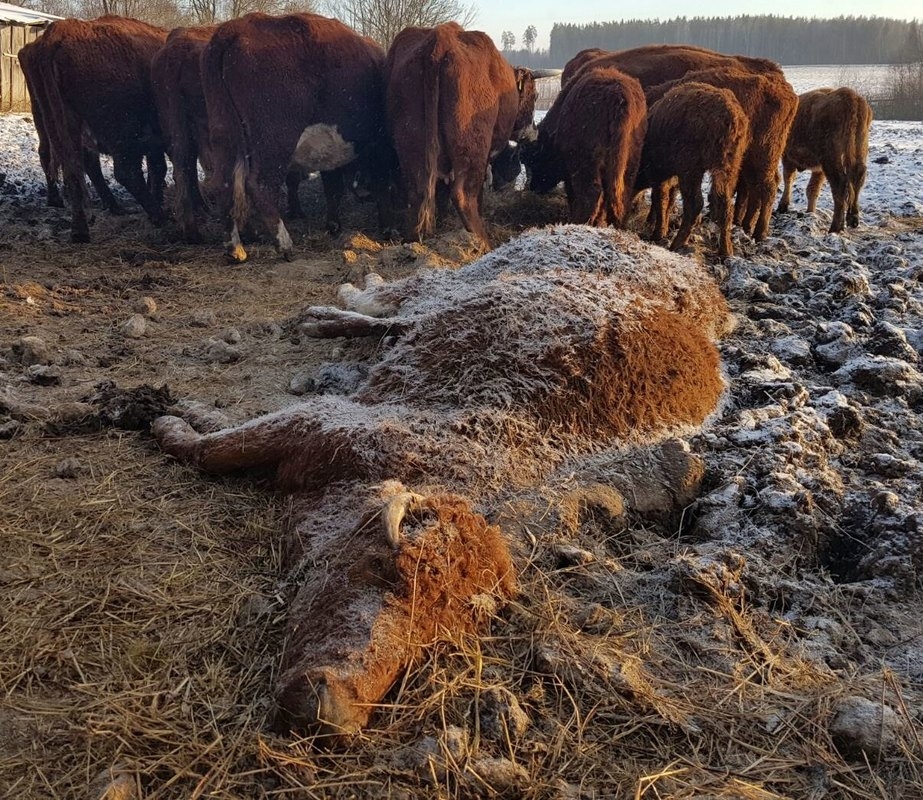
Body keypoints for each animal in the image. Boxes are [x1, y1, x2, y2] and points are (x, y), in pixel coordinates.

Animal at [636, 82, 752, 256]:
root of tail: (731, 116)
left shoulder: (662, 175)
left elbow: (660, 199)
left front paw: (658, 233)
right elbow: (667, 200)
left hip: (692, 170)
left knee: (695, 204)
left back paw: (676, 244)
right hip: (729, 168)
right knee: (725, 205)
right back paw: (726, 250)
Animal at [780, 88, 872, 231]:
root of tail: (850, 97)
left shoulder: (787, 157)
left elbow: (789, 179)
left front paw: (783, 206)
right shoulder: (819, 169)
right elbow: (812, 189)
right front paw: (810, 212)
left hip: (831, 159)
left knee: (839, 183)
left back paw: (835, 227)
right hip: (858, 150)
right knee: (857, 177)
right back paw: (853, 220)